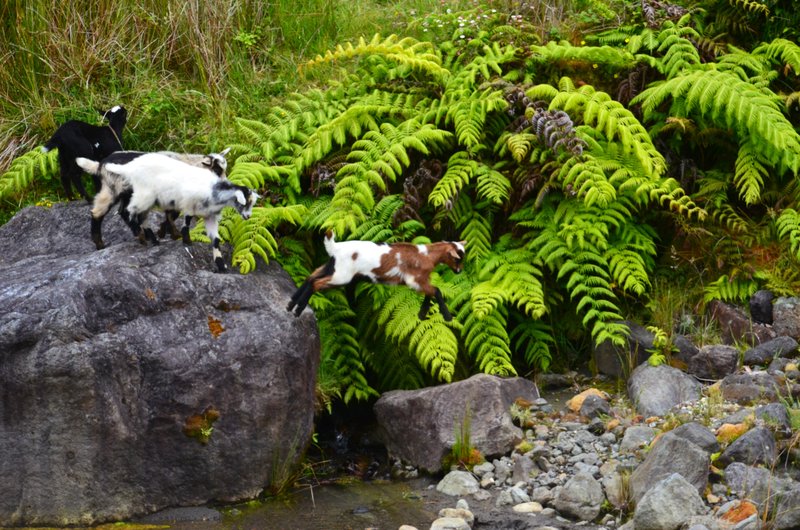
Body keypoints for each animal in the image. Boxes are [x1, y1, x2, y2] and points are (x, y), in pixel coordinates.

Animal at [76, 151, 258, 272]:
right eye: (218, 169)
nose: (226, 181)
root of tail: (101, 163)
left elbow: (172, 216)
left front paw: (166, 232)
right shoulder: (180, 199)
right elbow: (176, 216)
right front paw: (176, 235)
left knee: (119, 211)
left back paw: (144, 237)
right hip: (119, 190)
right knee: (105, 212)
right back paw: (116, 240)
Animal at [288, 231, 466, 321]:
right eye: (457, 258)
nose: (459, 271)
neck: (427, 255)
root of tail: (335, 247)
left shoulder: (421, 281)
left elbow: (430, 292)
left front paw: (422, 315)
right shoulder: (414, 279)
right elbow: (436, 290)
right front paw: (447, 317)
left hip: (332, 267)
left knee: (310, 277)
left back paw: (290, 305)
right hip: (342, 276)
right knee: (316, 283)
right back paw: (297, 310)